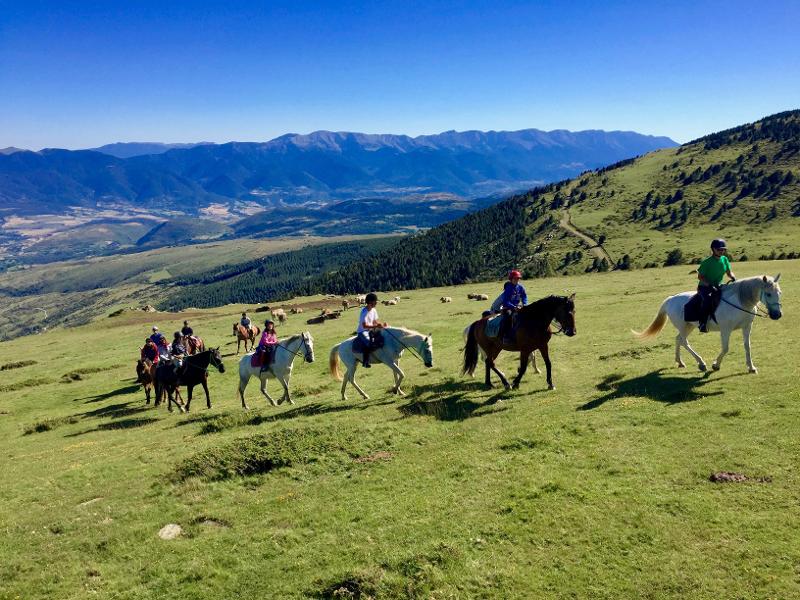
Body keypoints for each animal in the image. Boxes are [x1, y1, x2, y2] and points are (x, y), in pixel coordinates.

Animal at [632, 274, 780, 372]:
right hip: (683, 326)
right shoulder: (725, 329)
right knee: (684, 342)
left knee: (678, 339)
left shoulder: (747, 327)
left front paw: (751, 367)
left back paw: (680, 362)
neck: (740, 302)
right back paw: (701, 363)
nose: (777, 315)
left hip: (689, 326)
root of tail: (670, 299)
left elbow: (747, 346)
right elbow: (725, 348)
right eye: (768, 294)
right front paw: (716, 365)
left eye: (779, 293)